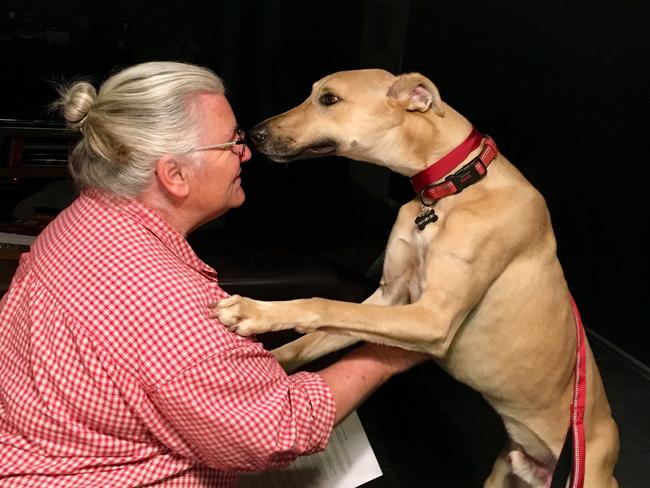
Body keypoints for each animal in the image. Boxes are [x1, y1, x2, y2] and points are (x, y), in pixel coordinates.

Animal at [214, 69, 616, 488]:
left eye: (329, 99)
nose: (253, 133)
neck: (453, 186)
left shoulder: (432, 317)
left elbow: (323, 304)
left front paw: (253, 312)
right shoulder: (388, 297)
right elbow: (313, 337)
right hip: (502, 470)